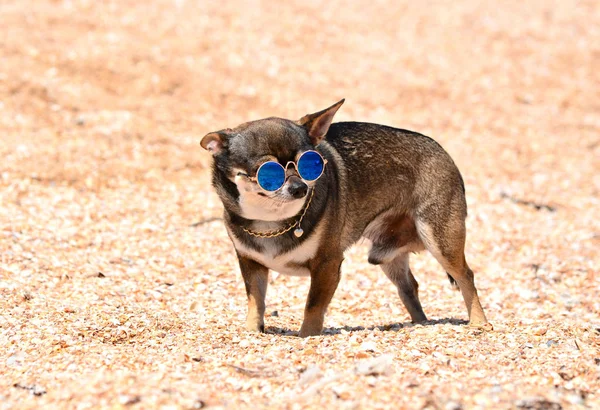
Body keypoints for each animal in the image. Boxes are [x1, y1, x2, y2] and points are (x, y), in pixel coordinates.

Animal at [199, 100, 490, 336]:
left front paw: (307, 336)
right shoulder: (251, 263)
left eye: (310, 163)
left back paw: (479, 322)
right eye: (266, 172)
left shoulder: (327, 264)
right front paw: (251, 331)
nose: (300, 188)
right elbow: (255, 301)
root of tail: (444, 152)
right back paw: (420, 324)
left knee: (466, 276)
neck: (271, 221)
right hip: (388, 255)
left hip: (439, 239)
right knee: (410, 286)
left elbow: (313, 306)